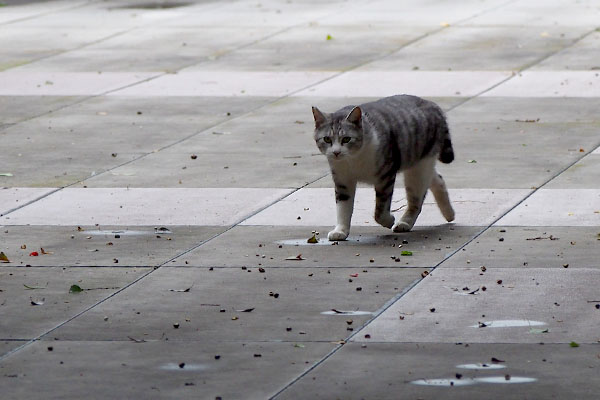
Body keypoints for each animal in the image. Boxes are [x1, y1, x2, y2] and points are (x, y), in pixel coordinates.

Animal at [314, 94, 454, 241]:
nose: (336, 152)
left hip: (418, 169)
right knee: (437, 178)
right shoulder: (343, 181)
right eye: (327, 139)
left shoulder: (385, 177)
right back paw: (449, 213)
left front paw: (389, 220)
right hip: (418, 163)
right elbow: (343, 208)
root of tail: (432, 105)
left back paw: (404, 223)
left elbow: (380, 211)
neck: (353, 160)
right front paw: (340, 230)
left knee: (416, 200)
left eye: (346, 139)